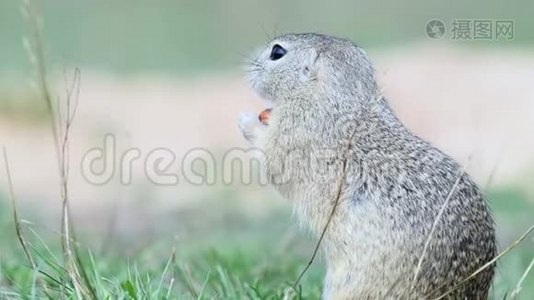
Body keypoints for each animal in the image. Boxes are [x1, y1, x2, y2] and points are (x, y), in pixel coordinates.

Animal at [239, 33, 498, 300]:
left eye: (277, 53)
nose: (250, 68)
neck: (339, 97)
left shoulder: (295, 131)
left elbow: (272, 158)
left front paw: (247, 121)